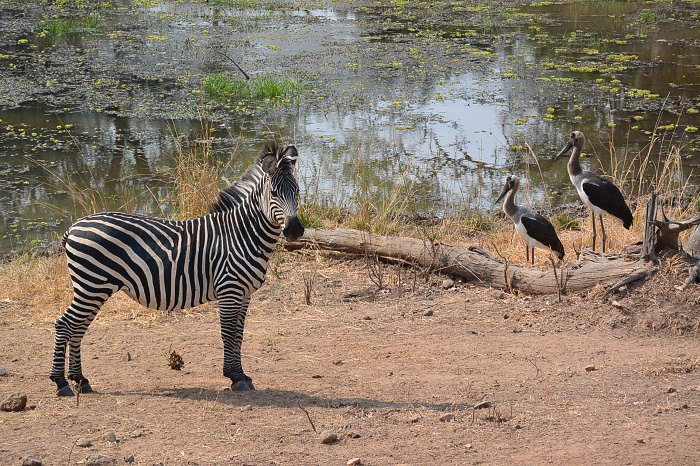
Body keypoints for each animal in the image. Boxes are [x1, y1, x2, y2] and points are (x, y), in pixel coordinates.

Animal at [49, 143, 300, 396]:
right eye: (274, 194)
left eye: (297, 192)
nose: (295, 231)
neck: (242, 234)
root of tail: (74, 226)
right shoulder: (230, 290)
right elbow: (228, 335)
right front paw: (235, 377)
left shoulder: (245, 294)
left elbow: (239, 335)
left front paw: (242, 375)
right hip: (92, 286)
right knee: (65, 325)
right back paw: (61, 383)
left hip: (92, 288)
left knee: (77, 328)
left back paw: (80, 380)